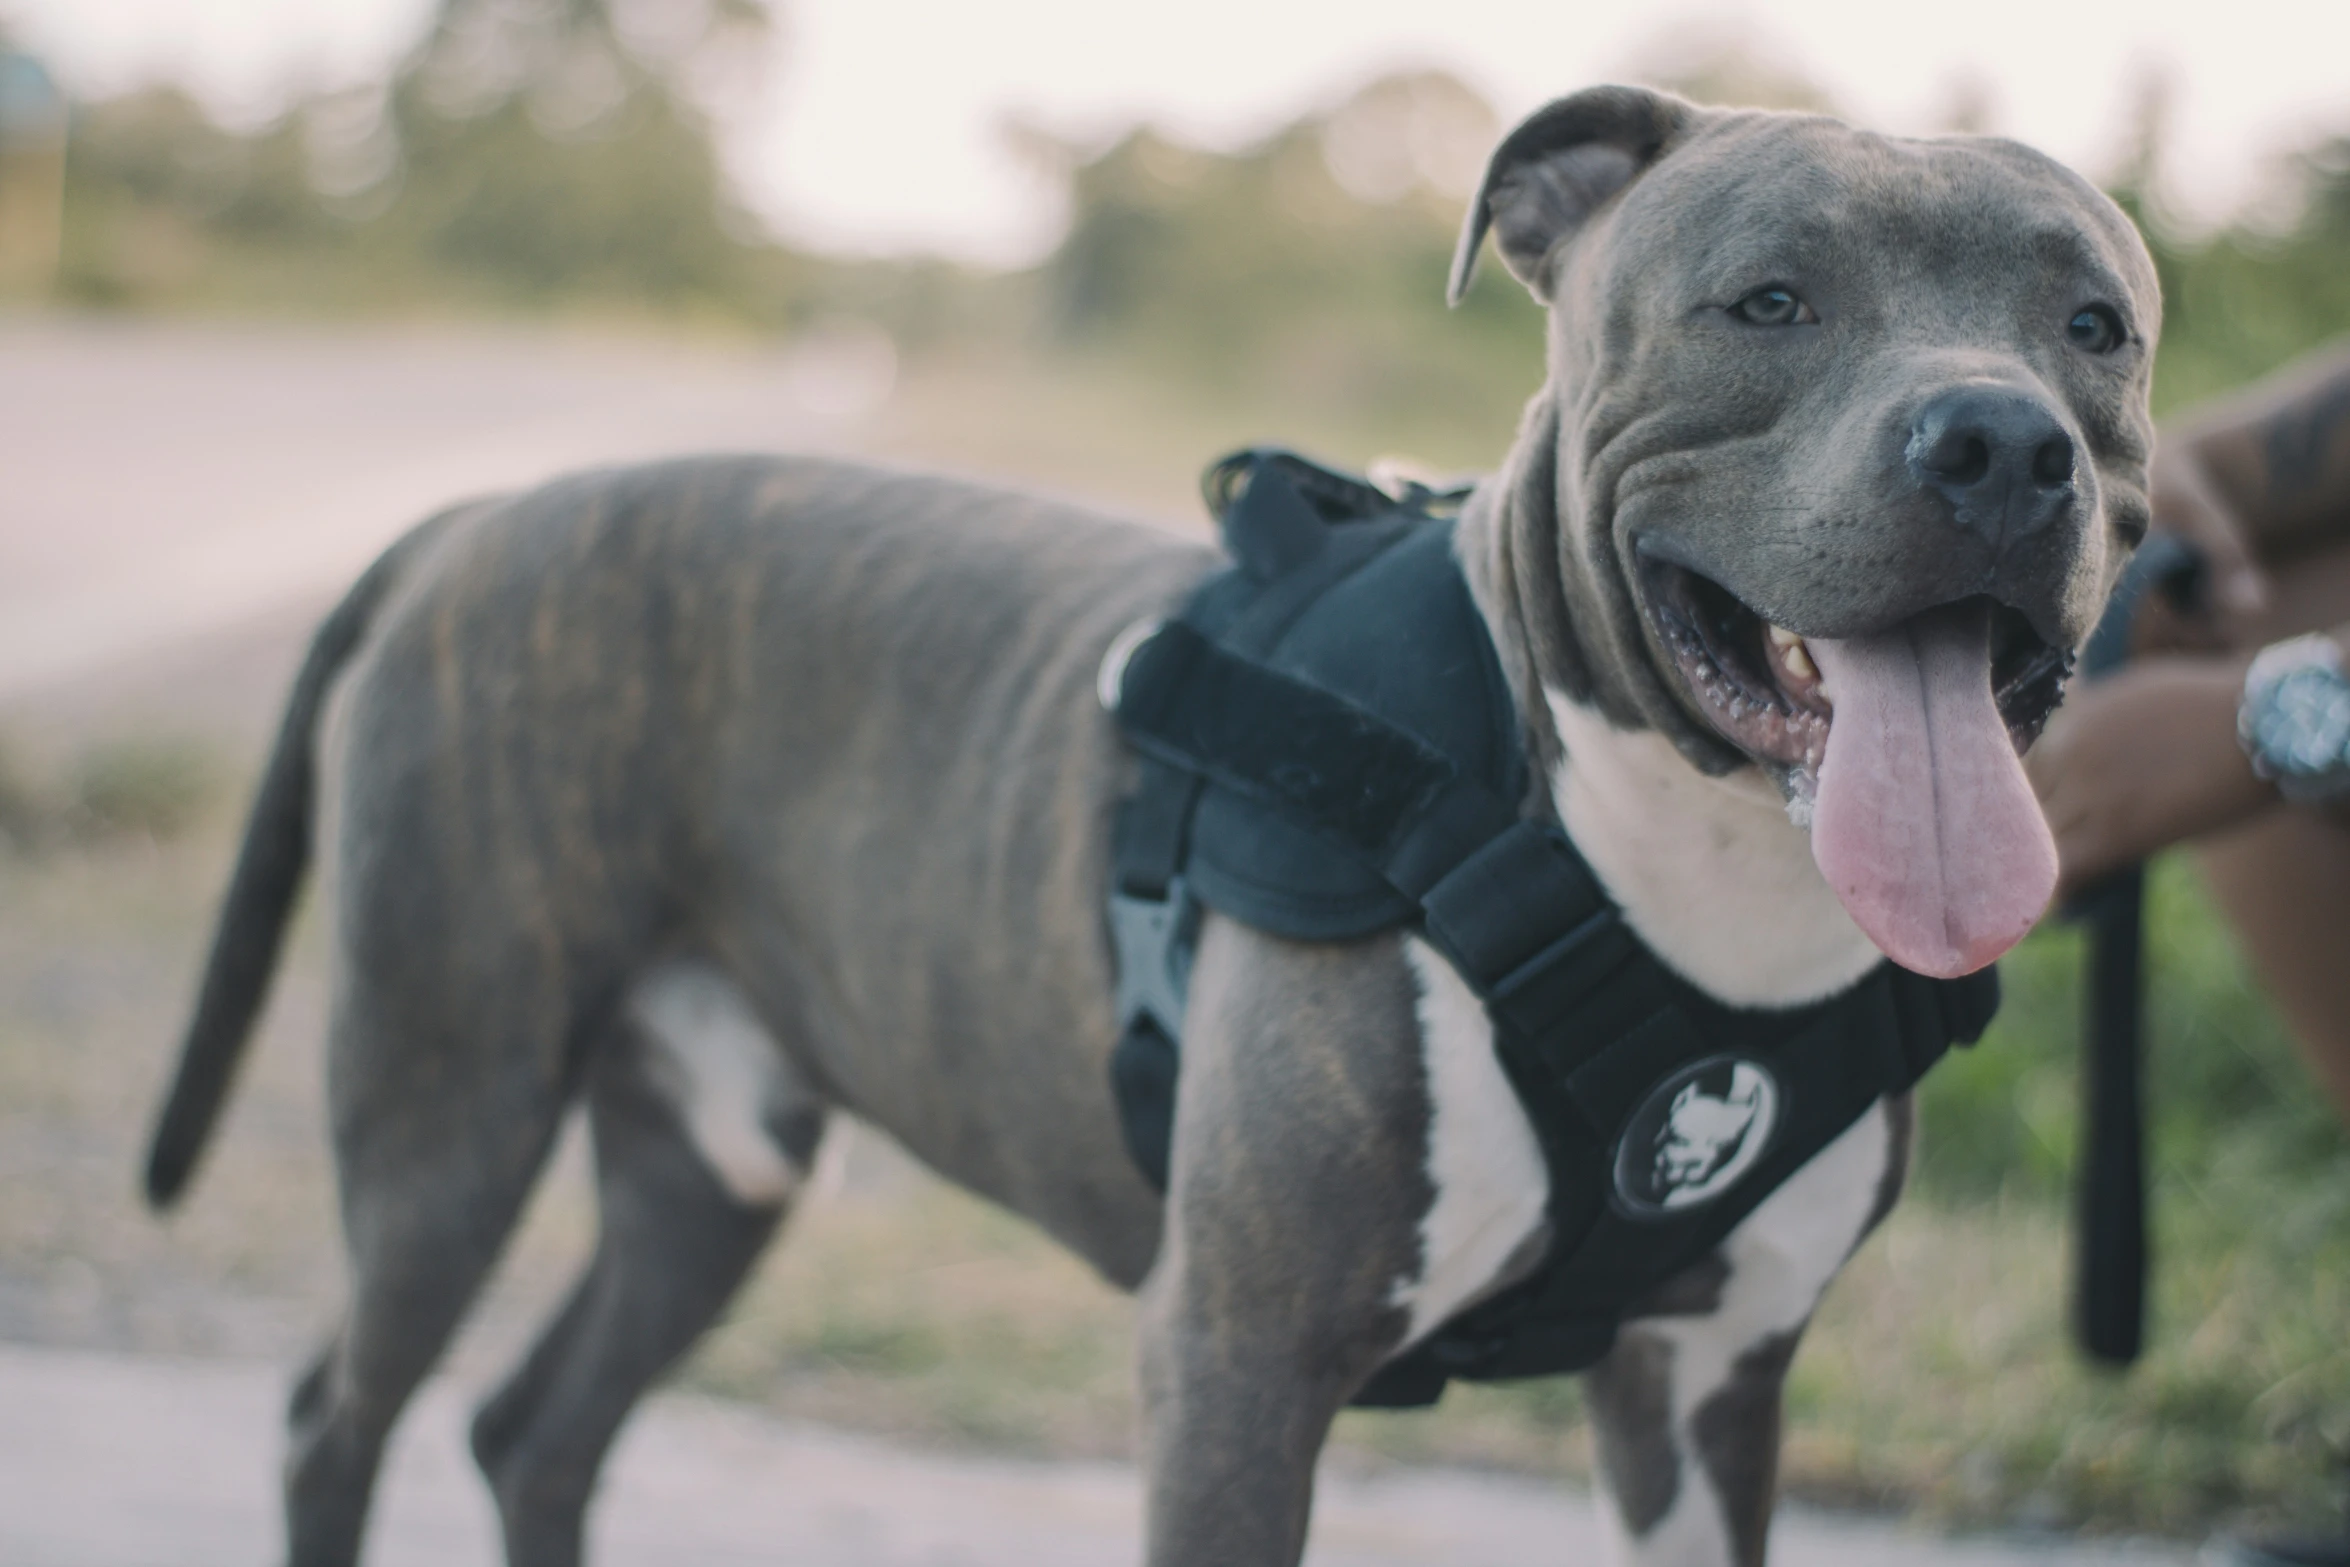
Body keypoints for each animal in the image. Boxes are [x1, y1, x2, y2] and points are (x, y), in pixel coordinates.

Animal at [146, 85, 2152, 1567]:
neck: (1657, 859)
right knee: (340, 1412)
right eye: (1772, 301)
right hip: (449, 1101)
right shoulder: (1235, 1365)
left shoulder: (1710, 1383)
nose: (1999, 443)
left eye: (2096, 328)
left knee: (534, 1426)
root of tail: (477, 518)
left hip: (710, 1156)